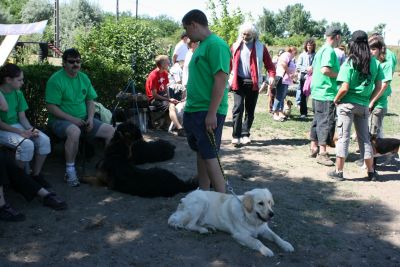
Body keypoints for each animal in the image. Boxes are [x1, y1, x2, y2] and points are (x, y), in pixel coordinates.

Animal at [167, 188, 296, 258]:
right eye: (260, 203)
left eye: (269, 202)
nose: (272, 214)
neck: (250, 218)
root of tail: (185, 197)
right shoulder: (240, 235)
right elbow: (256, 241)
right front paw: (266, 250)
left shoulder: (264, 229)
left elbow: (276, 236)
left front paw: (286, 245)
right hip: (201, 202)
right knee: (189, 225)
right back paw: (203, 230)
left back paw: (210, 227)